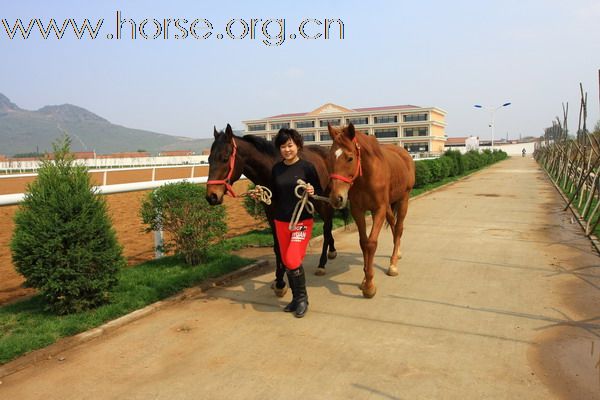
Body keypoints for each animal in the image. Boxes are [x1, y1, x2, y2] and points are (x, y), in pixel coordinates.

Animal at [205, 125, 338, 296]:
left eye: (225, 158)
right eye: (209, 159)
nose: (211, 196)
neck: (271, 169)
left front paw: (282, 280)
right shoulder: (271, 213)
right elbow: (277, 246)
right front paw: (279, 280)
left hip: (322, 201)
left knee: (327, 227)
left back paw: (322, 263)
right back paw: (331, 251)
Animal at [326, 123, 414, 298]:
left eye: (350, 158)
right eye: (330, 157)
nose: (336, 198)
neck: (366, 177)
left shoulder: (379, 209)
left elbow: (371, 243)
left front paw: (369, 286)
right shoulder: (358, 210)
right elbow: (363, 242)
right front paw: (365, 279)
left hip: (404, 199)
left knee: (399, 227)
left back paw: (393, 264)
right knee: (393, 224)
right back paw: (397, 252)